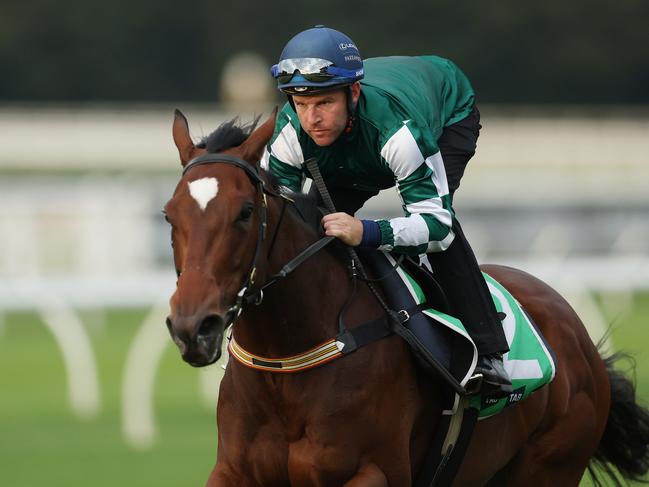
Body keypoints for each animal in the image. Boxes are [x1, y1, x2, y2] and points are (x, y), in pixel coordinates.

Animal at [163, 111, 648, 487]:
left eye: (245, 212)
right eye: (168, 214)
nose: (192, 327)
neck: (286, 365)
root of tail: (578, 336)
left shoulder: (376, 471)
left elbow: (433, 217)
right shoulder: (233, 471)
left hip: (551, 464)